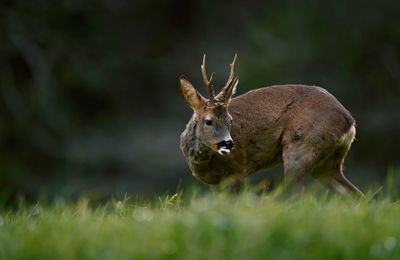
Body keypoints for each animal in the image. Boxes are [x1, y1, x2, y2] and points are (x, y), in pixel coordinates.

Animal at [180, 54, 364, 197]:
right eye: (208, 120)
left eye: (230, 120)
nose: (228, 143)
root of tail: (349, 120)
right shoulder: (216, 184)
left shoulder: (237, 170)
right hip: (327, 164)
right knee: (356, 195)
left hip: (301, 149)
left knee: (297, 196)